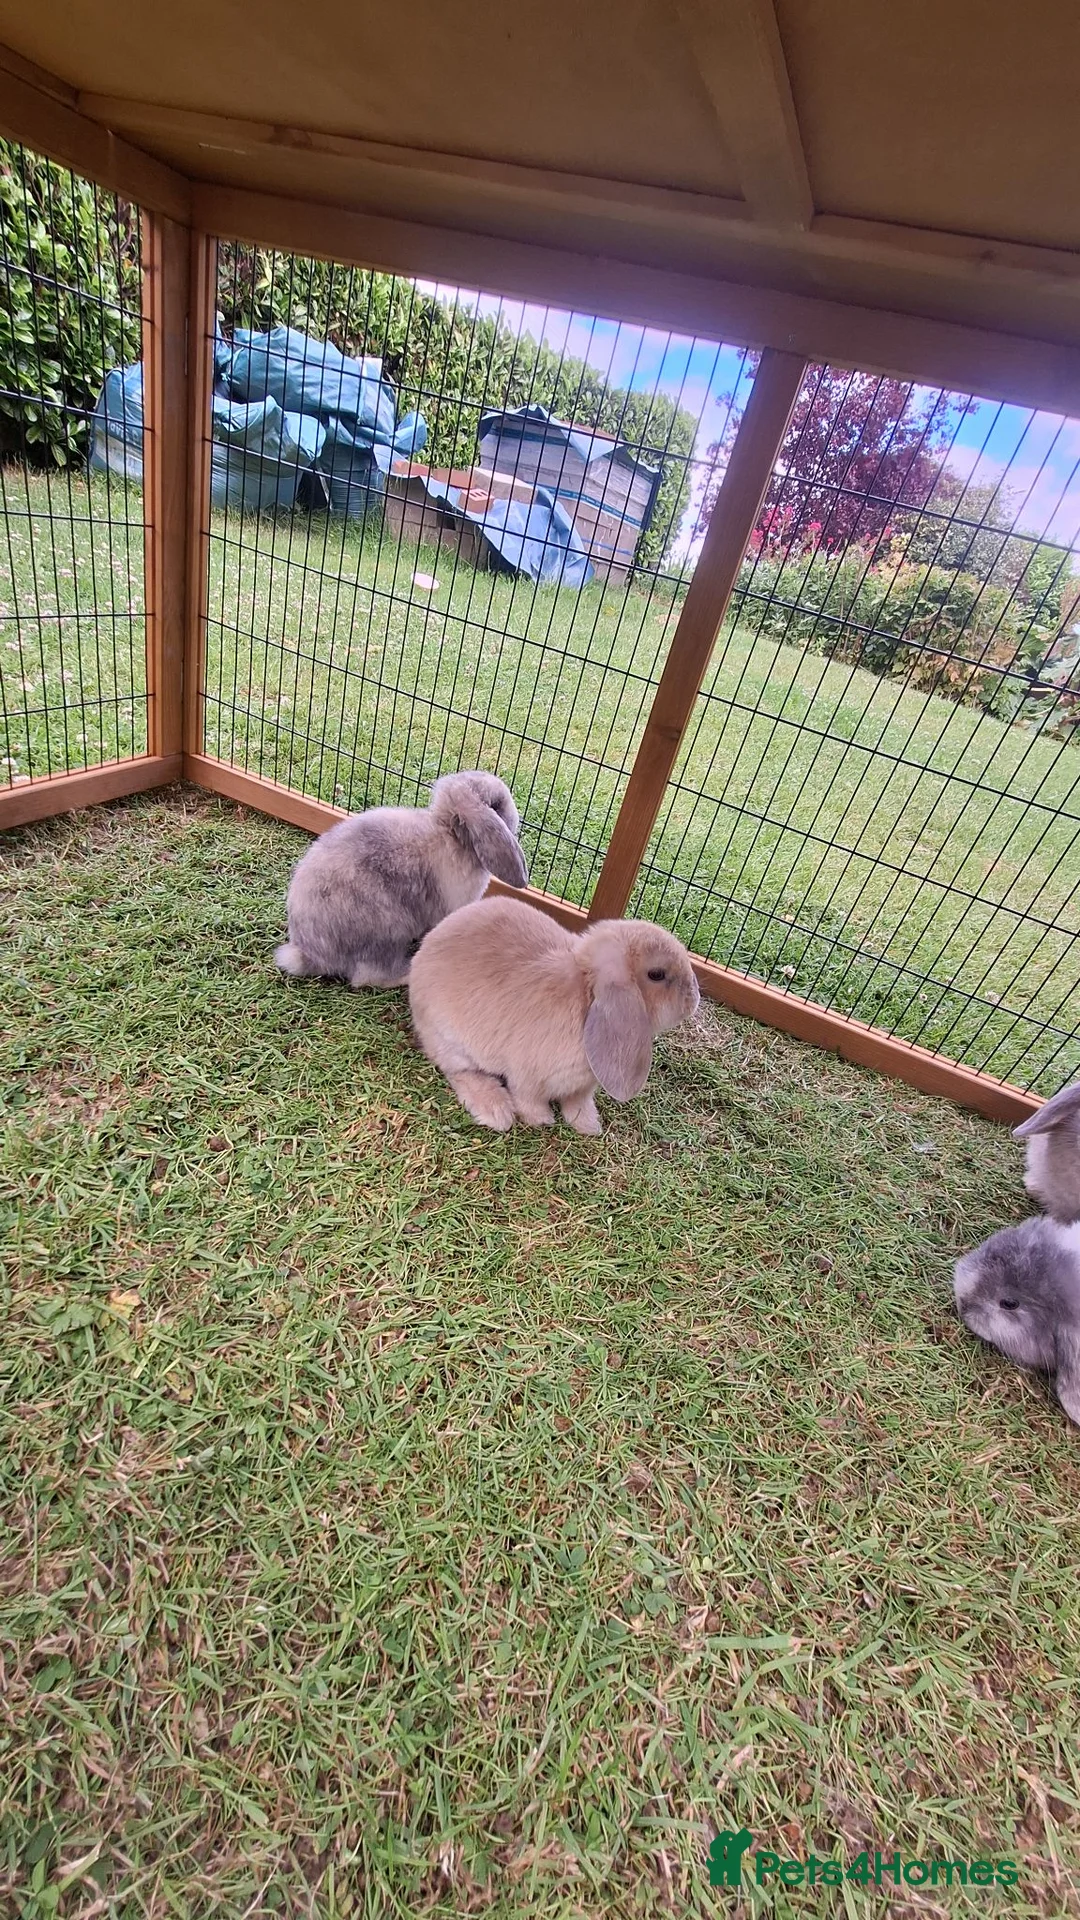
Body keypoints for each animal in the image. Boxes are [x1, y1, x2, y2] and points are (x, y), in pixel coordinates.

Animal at [275, 771, 528, 990]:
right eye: (497, 804)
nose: (516, 819)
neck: (453, 835)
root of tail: (309, 954)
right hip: (388, 929)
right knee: (368, 976)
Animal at [408, 893, 700, 1134]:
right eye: (657, 974)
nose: (694, 997)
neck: (586, 993)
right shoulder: (527, 1077)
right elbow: (528, 1100)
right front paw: (542, 1120)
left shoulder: (582, 1087)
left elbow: (577, 1103)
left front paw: (588, 1126)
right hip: (451, 1042)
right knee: (459, 1072)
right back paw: (496, 1111)